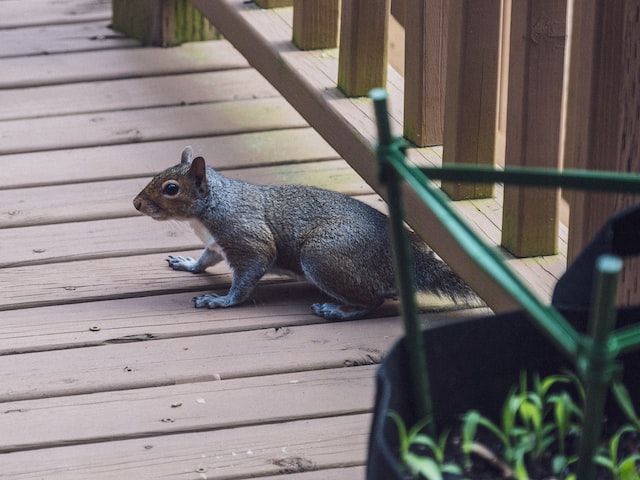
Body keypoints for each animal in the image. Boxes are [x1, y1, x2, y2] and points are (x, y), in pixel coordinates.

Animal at [132, 145, 478, 318]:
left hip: (322, 257)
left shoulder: (247, 238)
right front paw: (188, 264)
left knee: (374, 301)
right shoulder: (217, 245)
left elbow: (248, 275)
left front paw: (221, 301)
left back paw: (336, 310)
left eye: (171, 188)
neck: (210, 208)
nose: (136, 203)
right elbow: (205, 260)